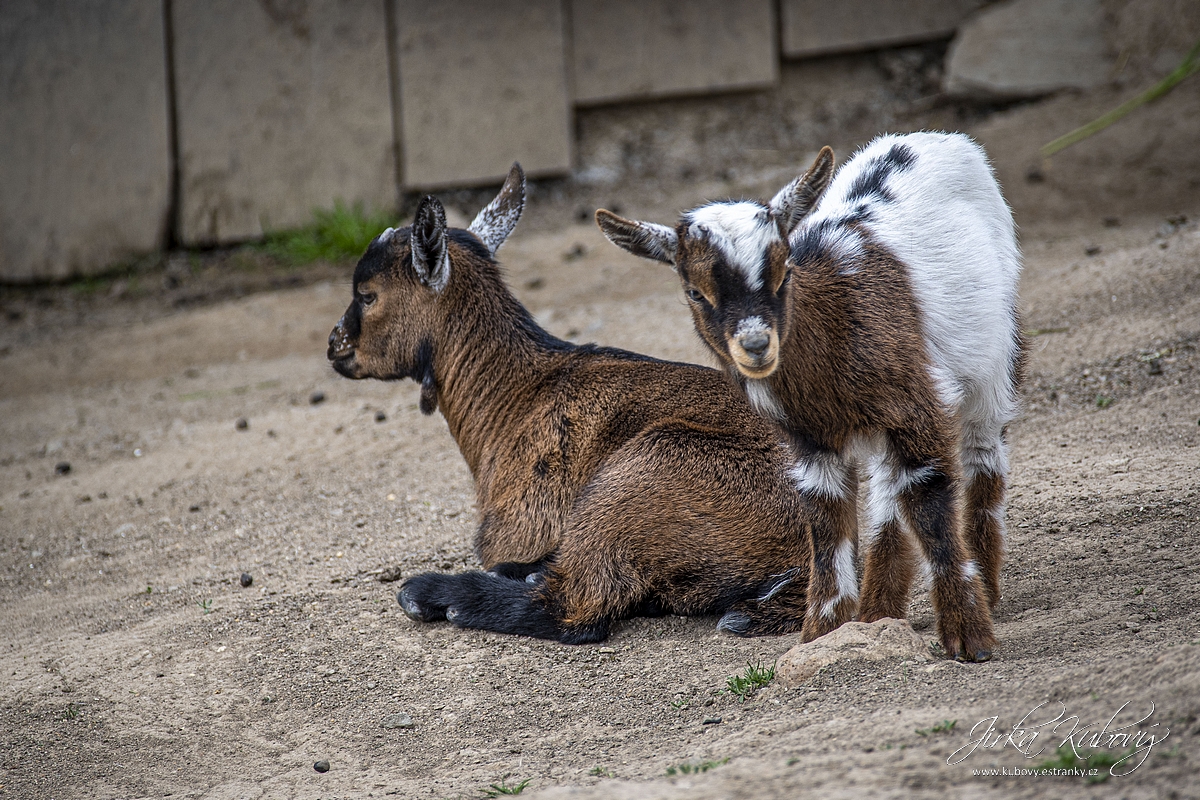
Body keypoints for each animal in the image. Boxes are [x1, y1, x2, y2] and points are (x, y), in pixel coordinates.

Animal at [331, 163, 816, 642]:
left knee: (577, 609)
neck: (518, 395)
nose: (336, 346)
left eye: (367, 295)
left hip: (649, 468)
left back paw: (436, 593)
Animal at [597, 131, 1022, 662]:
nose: (756, 345)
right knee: (887, 489)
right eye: (695, 292)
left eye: (783, 272)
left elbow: (930, 505)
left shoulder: (917, 406)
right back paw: (879, 612)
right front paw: (824, 633)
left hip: (994, 355)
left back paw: (986, 587)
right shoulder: (811, 443)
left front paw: (970, 637)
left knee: (982, 454)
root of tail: (932, 138)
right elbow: (826, 525)